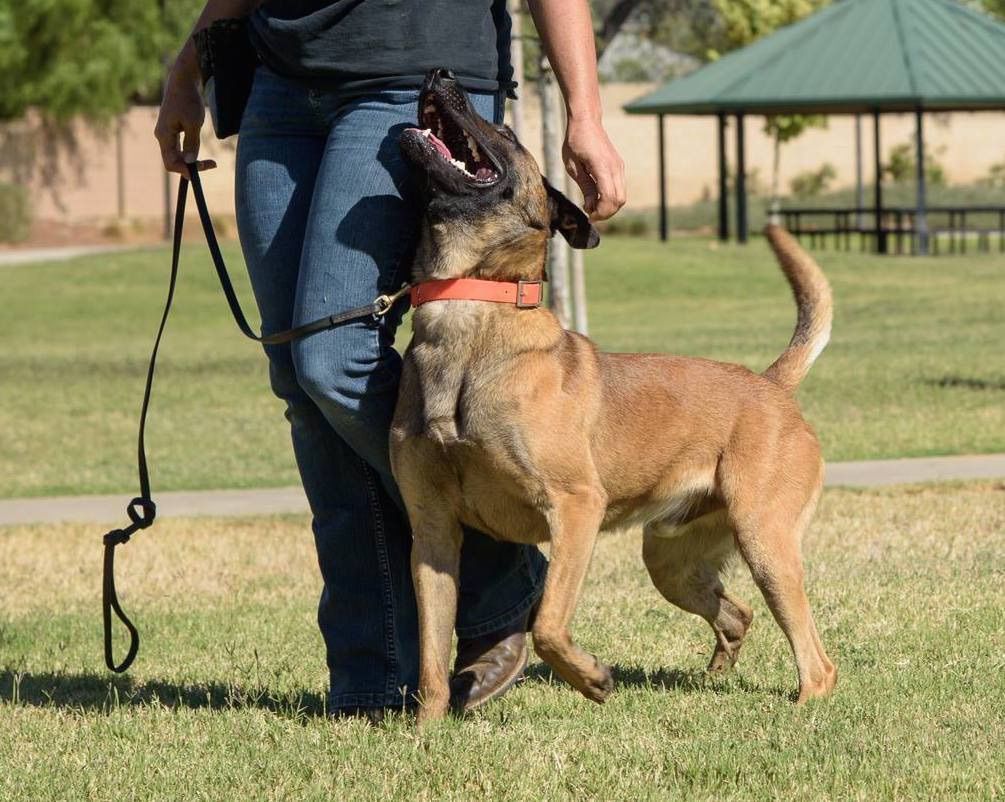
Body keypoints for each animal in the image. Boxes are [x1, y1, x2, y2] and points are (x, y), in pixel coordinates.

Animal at [391, 69, 840, 723]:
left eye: (505, 133)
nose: (440, 74)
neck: (470, 314)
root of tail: (769, 384)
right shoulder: (432, 531)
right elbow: (429, 655)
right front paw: (427, 731)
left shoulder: (576, 507)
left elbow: (547, 625)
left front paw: (592, 679)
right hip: (672, 560)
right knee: (738, 614)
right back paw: (714, 677)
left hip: (766, 542)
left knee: (816, 658)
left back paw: (802, 706)